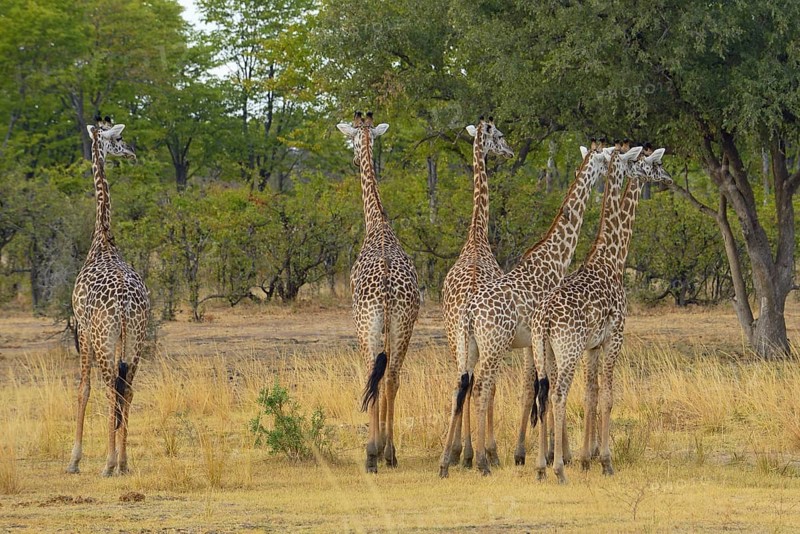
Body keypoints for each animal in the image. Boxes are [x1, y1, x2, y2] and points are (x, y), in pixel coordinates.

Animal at [438, 140, 613, 478]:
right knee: (480, 388)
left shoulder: (534, 343)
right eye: (604, 158)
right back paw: (480, 460)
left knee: (462, 385)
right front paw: (552, 455)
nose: (611, 168)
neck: (554, 258)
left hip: (464, 343)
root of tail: (468, 310)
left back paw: (452, 459)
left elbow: (536, 390)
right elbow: (541, 389)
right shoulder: (542, 341)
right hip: (491, 346)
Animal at [529, 145, 671, 484]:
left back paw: (541, 466)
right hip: (567, 349)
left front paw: (586, 459)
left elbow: (591, 395)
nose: (669, 179)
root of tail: (544, 319)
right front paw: (604, 461)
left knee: (543, 396)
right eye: (654, 163)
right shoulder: (614, 337)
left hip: (543, 351)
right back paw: (558, 468)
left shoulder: (592, 346)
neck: (612, 258)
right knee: (557, 395)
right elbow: (607, 396)